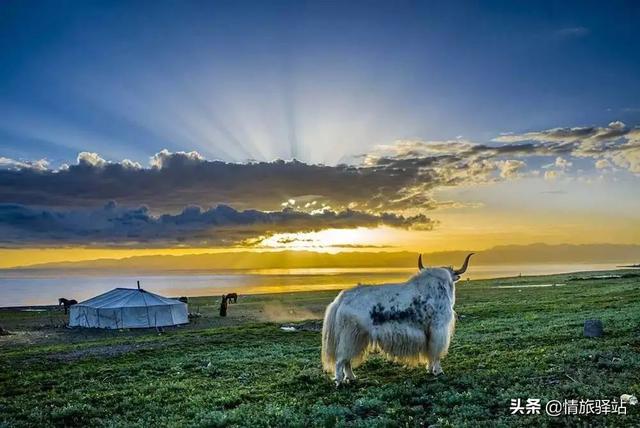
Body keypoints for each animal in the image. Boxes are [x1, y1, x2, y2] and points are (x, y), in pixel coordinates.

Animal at [322, 252, 472, 386]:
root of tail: (341, 299)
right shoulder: (438, 329)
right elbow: (436, 351)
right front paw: (438, 371)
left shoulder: (428, 332)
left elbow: (429, 351)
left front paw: (430, 369)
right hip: (351, 336)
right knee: (341, 359)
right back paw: (340, 381)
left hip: (355, 337)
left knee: (346, 359)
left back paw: (351, 378)